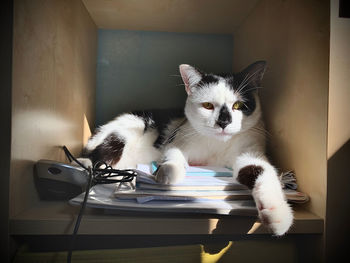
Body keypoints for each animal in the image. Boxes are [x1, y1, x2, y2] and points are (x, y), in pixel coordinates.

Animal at [79, 60, 292, 236]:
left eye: (239, 105)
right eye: (208, 106)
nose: (223, 122)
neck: (217, 144)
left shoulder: (250, 150)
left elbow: (261, 170)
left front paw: (277, 215)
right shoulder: (179, 138)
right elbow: (174, 153)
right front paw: (168, 171)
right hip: (126, 131)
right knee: (99, 157)